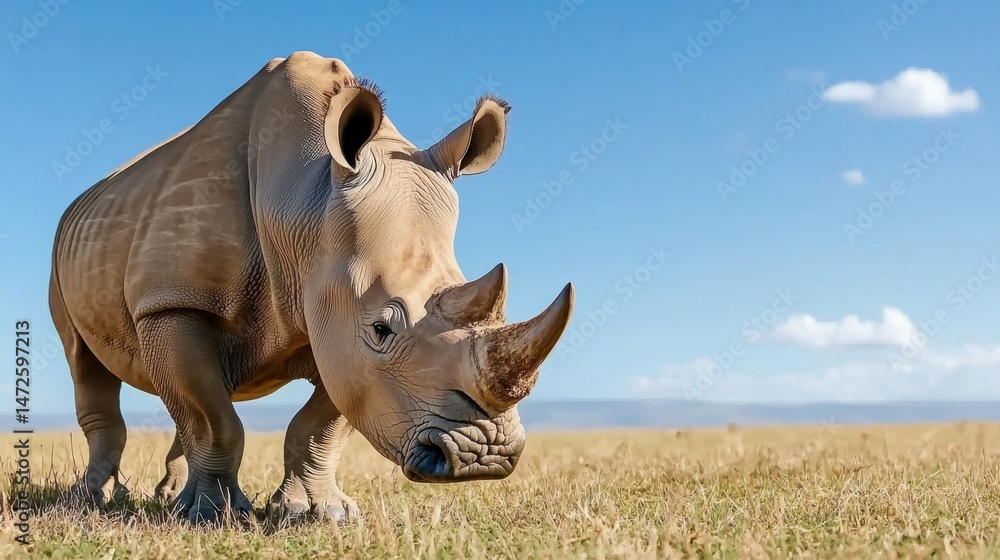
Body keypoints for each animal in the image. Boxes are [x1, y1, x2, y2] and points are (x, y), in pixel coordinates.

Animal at [49, 51, 574, 523]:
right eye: (382, 328)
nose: (483, 457)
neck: (305, 201)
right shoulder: (172, 303)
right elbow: (216, 422)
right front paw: (211, 515)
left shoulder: (334, 320)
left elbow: (323, 423)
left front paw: (322, 513)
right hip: (66, 255)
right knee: (85, 362)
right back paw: (95, 501)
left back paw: (165, 496)